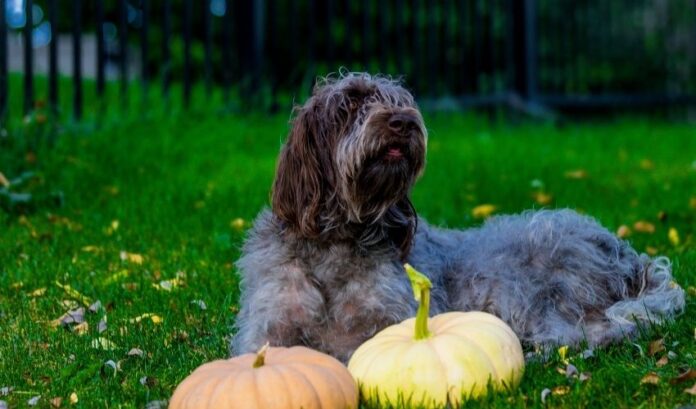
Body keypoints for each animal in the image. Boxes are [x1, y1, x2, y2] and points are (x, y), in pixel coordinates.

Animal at [232, 71, 684, 362]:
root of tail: (628, 257)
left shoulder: (393, 320)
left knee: (593, 330)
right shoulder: (267, 329)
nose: (403, 122)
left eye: (400, 102)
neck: (337, 239)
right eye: (354, 100)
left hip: (522, 280)